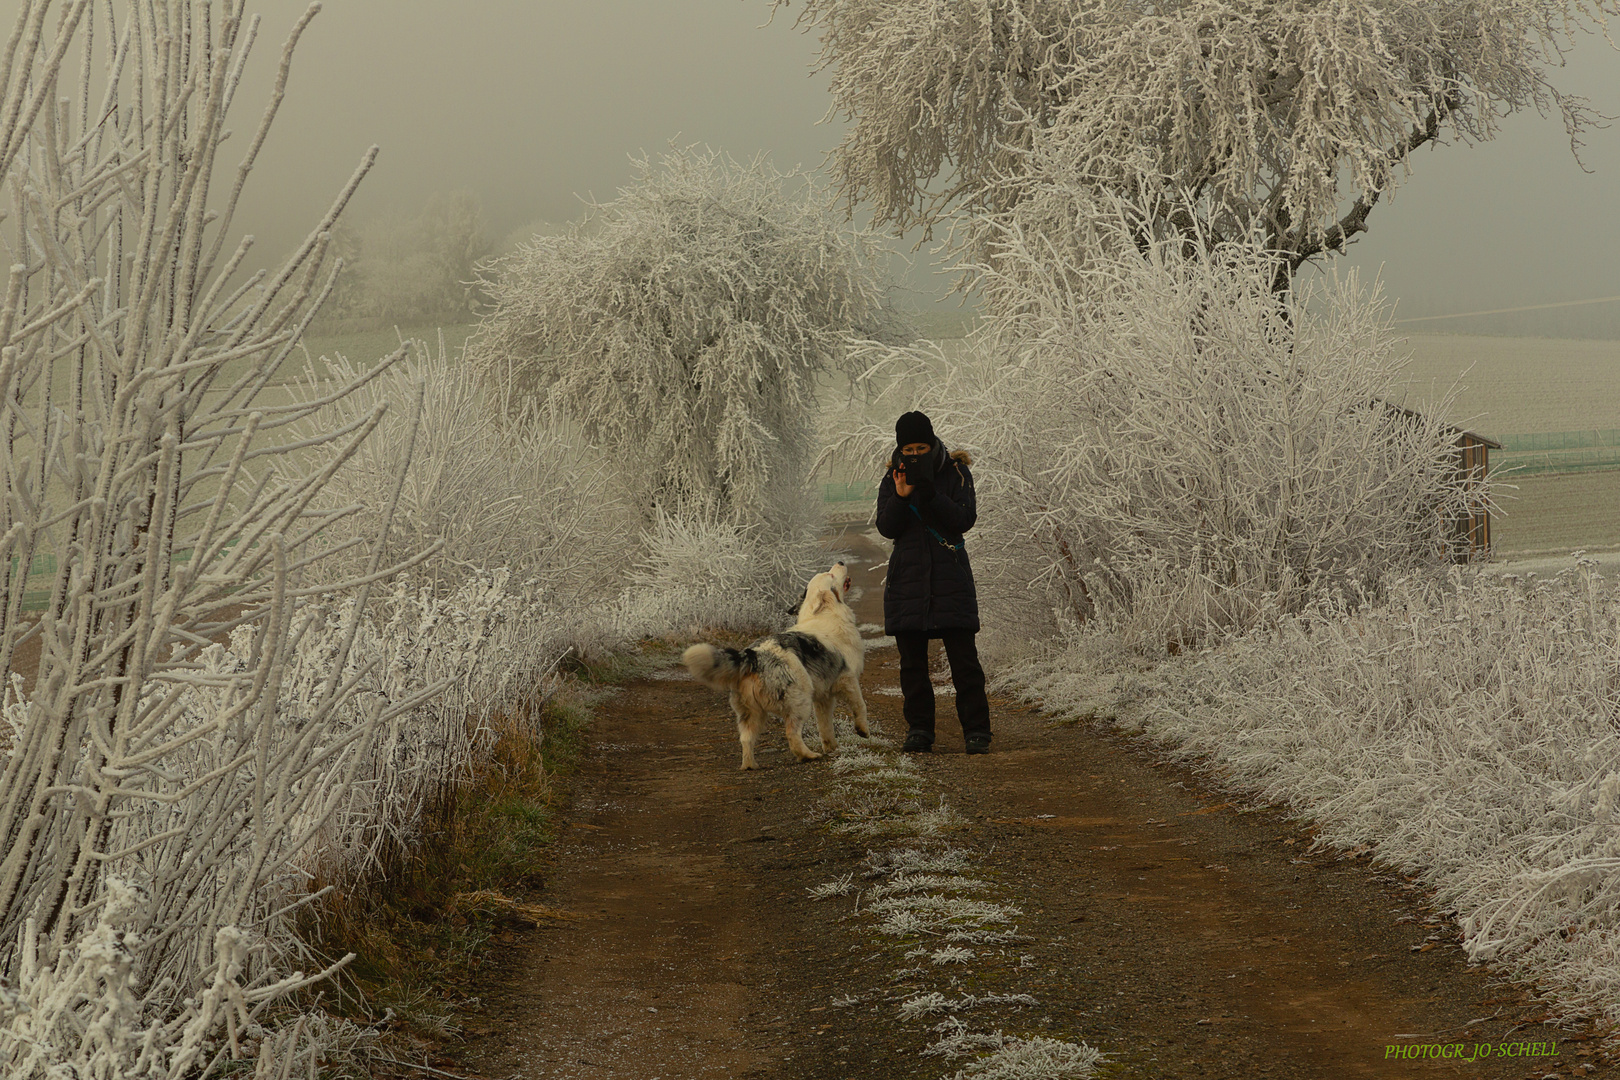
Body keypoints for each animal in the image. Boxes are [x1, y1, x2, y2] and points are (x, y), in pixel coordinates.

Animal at [677, 566, 868, 767]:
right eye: (830, 574)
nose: (840, 562)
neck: (826, 613)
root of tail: (753, 656)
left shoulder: (824, 697)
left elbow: (825, 726)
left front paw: (832, 748)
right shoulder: (848, 680)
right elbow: (860, 706)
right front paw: (863, 731)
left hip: (751, 713)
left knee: (746, 739)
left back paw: (750, 766)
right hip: (800, 701)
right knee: (792, 733)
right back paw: (808, 755)